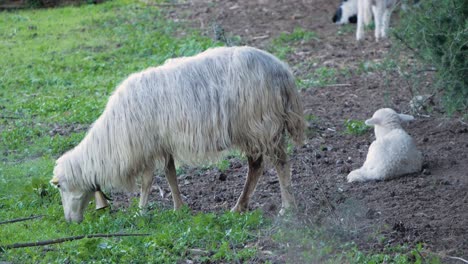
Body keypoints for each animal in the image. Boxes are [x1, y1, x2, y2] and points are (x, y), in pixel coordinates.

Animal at [49, 46, 306, 223]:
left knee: (281, 164)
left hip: (263, 125)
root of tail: (282, 70)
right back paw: (239, 207)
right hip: (251, 131)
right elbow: (170, 174)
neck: (111, 137)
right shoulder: (162, 144)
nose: (70, 221)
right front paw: (179, 208)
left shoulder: (147, 145)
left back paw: (287, 207)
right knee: (256, 166)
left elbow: (147, 181)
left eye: (61, 187)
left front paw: (140, 211)